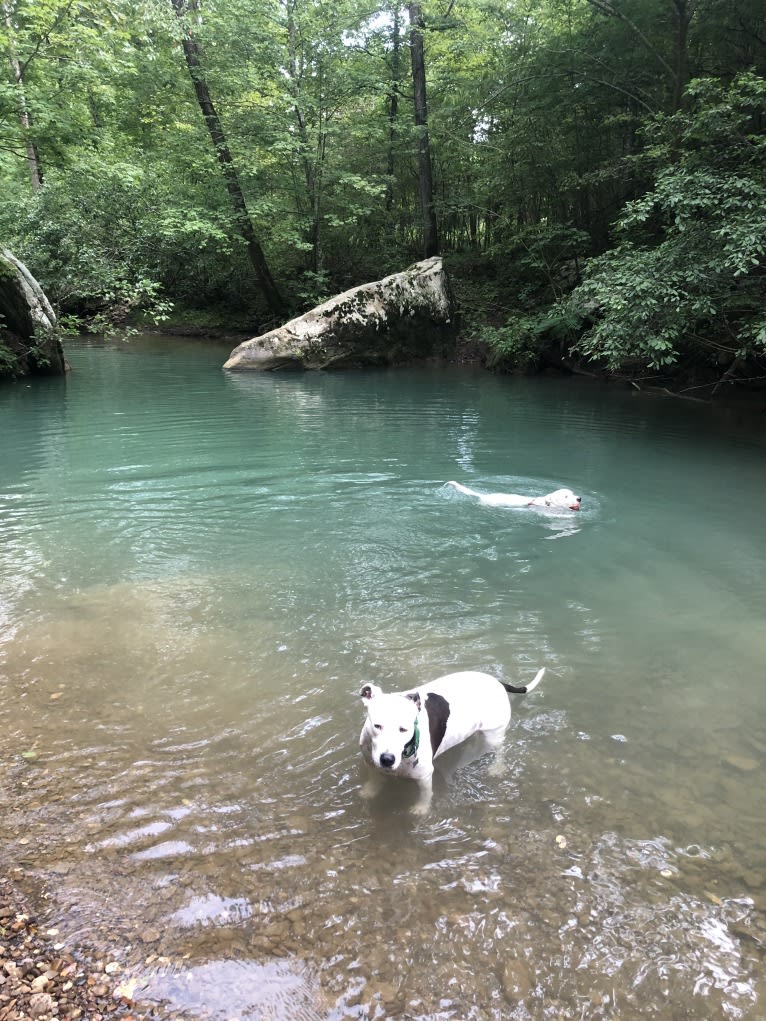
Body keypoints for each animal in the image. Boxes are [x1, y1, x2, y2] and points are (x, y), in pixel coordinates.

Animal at [359, 669, 547, 812]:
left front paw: (421, 809)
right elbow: (374, 778)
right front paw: (369, 791)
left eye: (404, 729)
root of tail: (497, 682)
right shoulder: (370, 762)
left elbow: (425, 795)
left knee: (500, 750)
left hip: (493, 734)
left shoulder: (425, 776)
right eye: (377, 726)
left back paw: (497, 767)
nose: (387, 759)